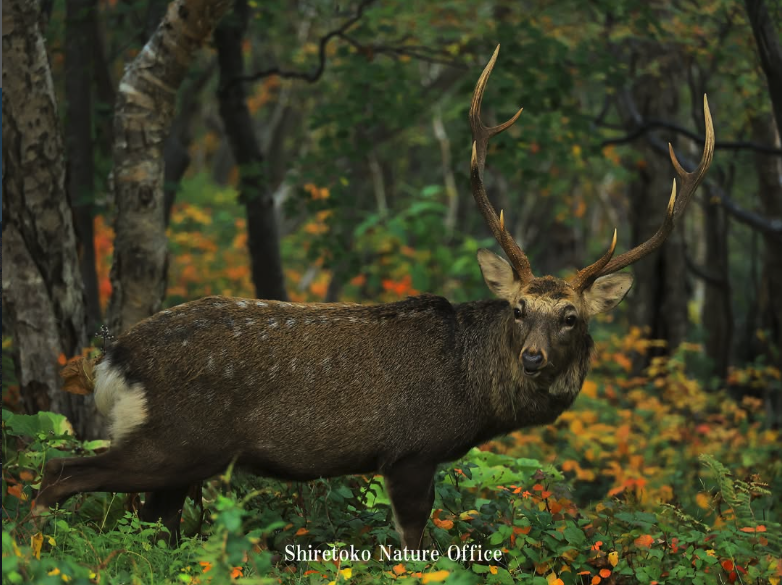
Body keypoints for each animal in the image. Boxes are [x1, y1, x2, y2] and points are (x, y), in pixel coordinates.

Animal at [35, 46, 714, 550]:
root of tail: (114, 357)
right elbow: (415, 545)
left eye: (571, 316)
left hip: (184, 460)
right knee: (57, 473)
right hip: (176, 440)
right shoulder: (410, 451)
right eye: (520, 309)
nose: (534, 358)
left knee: (151, 522)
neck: (473, 393)